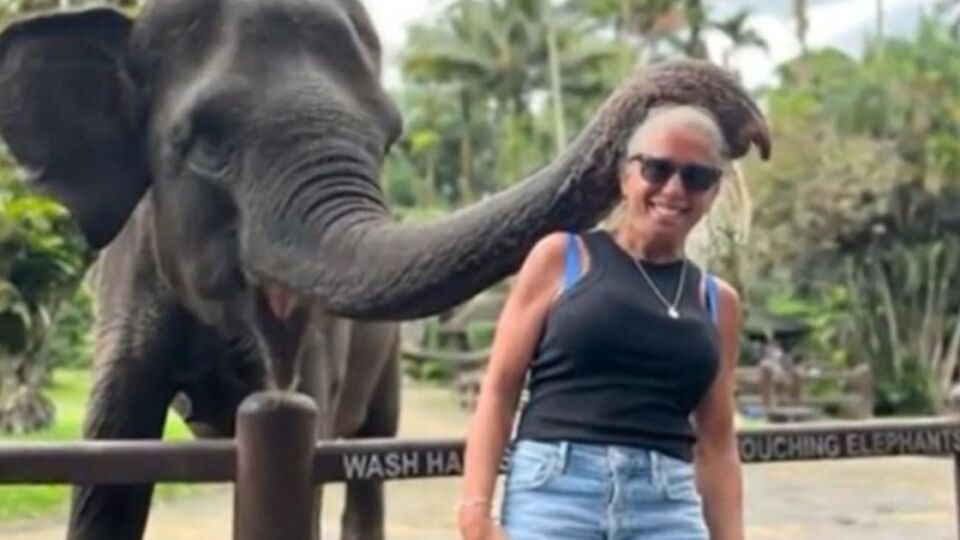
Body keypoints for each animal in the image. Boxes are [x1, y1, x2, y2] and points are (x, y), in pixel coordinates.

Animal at [0, 1, 768, 540]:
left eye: (389, 138)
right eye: (206, 144)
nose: (747, 123)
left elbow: (304, 433)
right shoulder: (127, 289)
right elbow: (111, 457)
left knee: (368, 454)